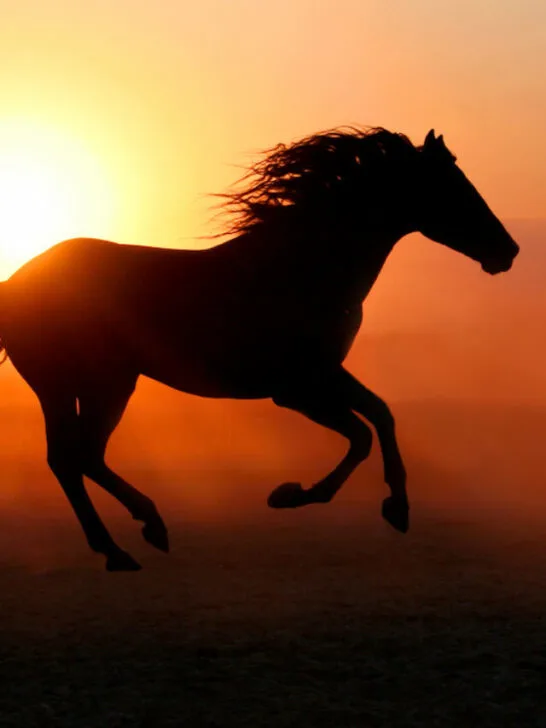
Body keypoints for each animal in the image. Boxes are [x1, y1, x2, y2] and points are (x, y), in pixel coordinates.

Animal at [0, 128, 519, 571]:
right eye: (453, 187)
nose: (507, 251)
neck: (301, 267)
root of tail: (16, 284)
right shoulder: (297, 389)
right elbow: (361, 434)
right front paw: (292, 495)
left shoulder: (325, 374)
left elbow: (381, 415)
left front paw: (396, 507)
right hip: (104, 382)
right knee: (81, 455)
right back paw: (141, 533)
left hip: (68, 387)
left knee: (67, 458)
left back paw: (124, 544)